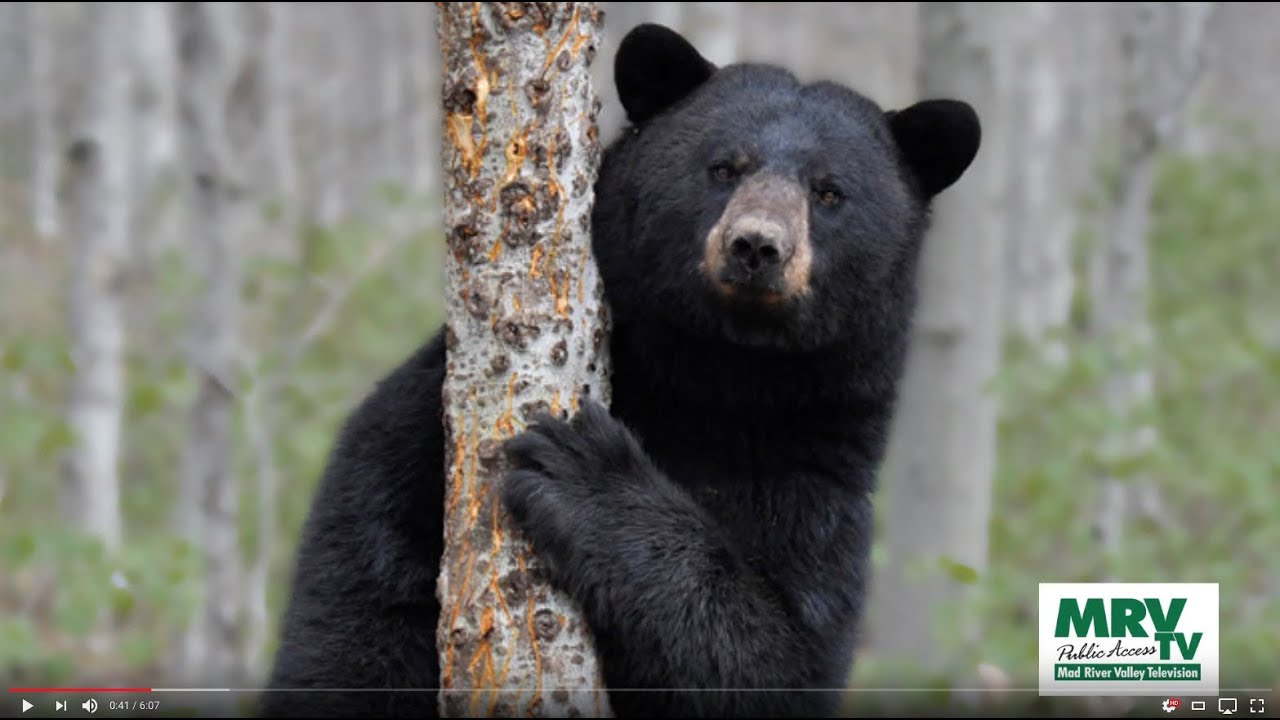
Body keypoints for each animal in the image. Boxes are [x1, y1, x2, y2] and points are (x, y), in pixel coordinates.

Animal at [260, 22, 980, 720]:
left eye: (829, 192)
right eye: (723, 167)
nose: (756, 246)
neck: (710, 379)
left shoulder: (814, 483)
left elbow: (773, 661)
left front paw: (585, 473)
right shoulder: (415, 439)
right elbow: (362, 598)